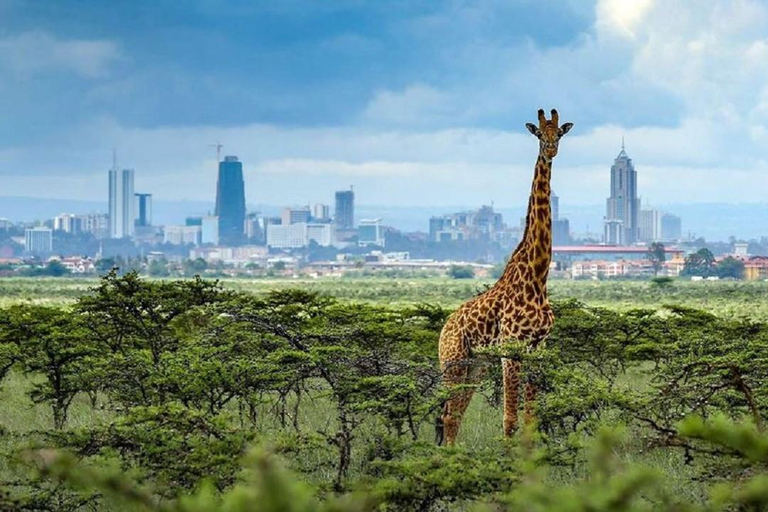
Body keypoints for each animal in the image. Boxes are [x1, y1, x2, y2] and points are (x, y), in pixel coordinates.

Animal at [436, 108, 572, 444]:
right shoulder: (511, 349)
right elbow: (509, 420)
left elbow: (530, 419)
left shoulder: (537, 349)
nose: (551, 150)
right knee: (447, 415)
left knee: (455, 415)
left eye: (559, 133)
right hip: (453, 361)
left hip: (476, 364)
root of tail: (444, 328)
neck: (537, 276)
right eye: (539, 134)